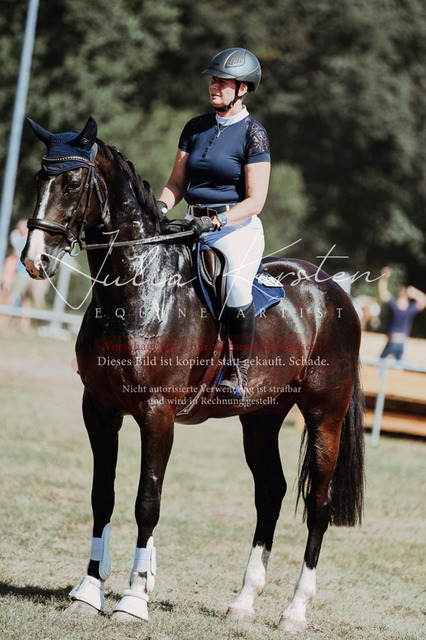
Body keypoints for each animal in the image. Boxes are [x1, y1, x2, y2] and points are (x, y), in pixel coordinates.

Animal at [21, 116, 364, 633]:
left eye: (75, 183)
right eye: (40, 178)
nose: (33, 259)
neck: (139, 290)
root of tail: (335, 290)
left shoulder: (157, 414)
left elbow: (147, 501)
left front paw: (133, 600)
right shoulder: (98, 410)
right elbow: (103, 496)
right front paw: (88, 592)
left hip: (326, 415)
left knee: (317, 507)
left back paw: (294, 612)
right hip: (261, 417)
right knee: (271, 493)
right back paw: (243, 602)